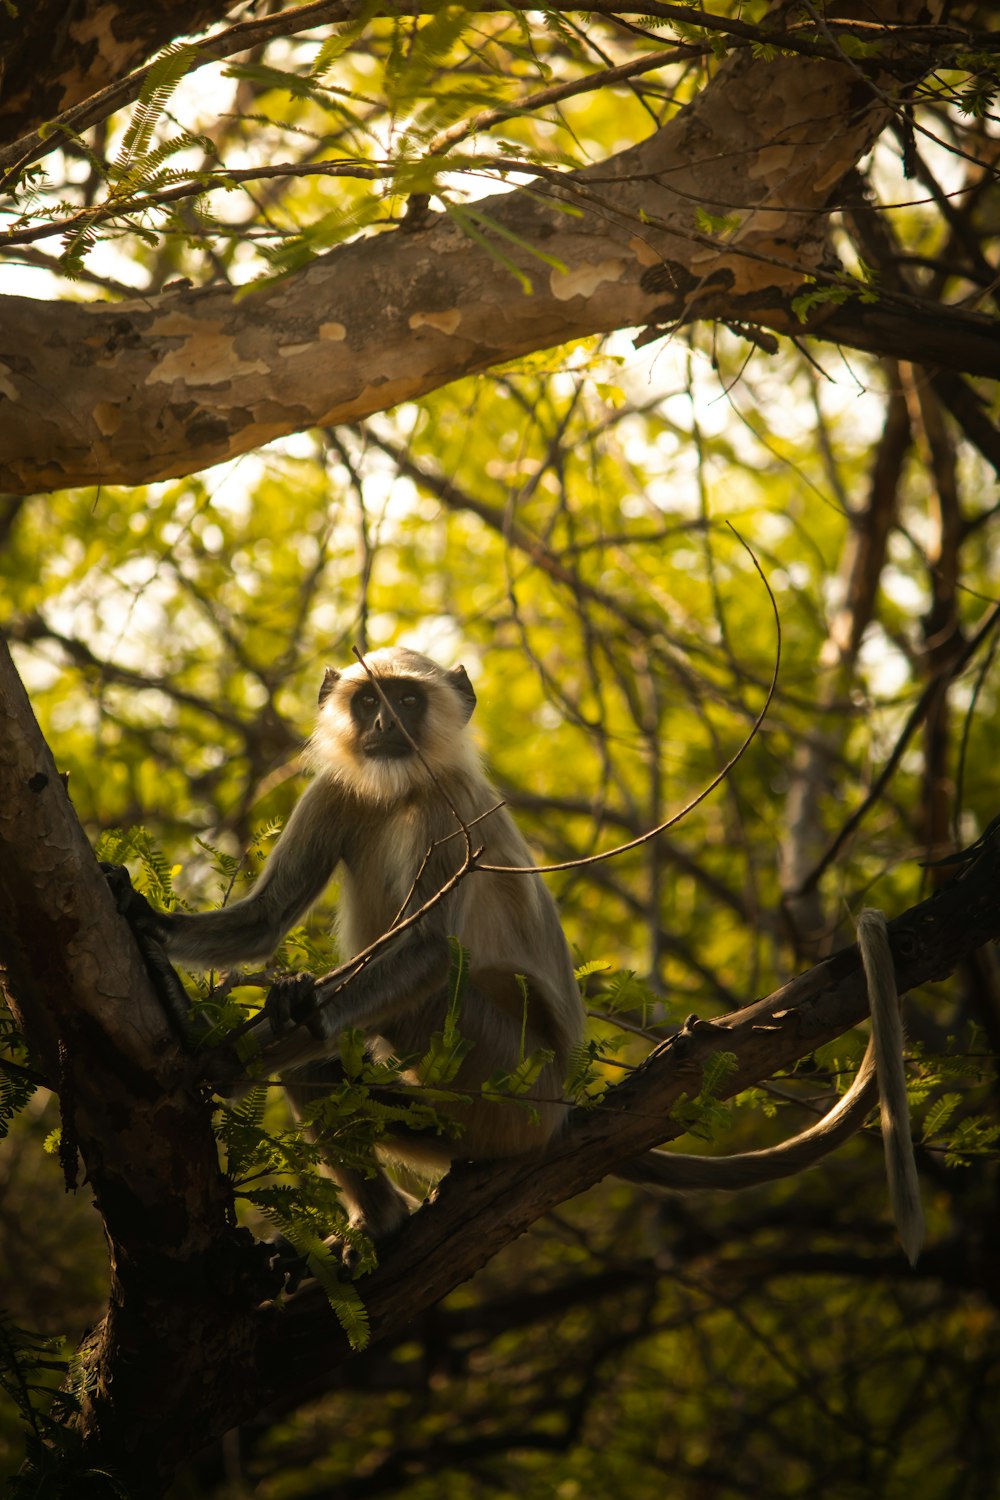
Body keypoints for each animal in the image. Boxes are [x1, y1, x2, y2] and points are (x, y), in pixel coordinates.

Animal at [117, 648, 923, 1266]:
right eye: (366, 701)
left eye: (405, 700)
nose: (381, 725)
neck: (400, 794)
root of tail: (558, 1107)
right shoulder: (336, 788)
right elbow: (265, 920)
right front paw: (143, 919)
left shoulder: (452, 811)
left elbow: (430, 955)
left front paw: (225, 1061)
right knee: (321, 1067)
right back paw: (378, 1215)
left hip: (504, 1085)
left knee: (386, 1014)